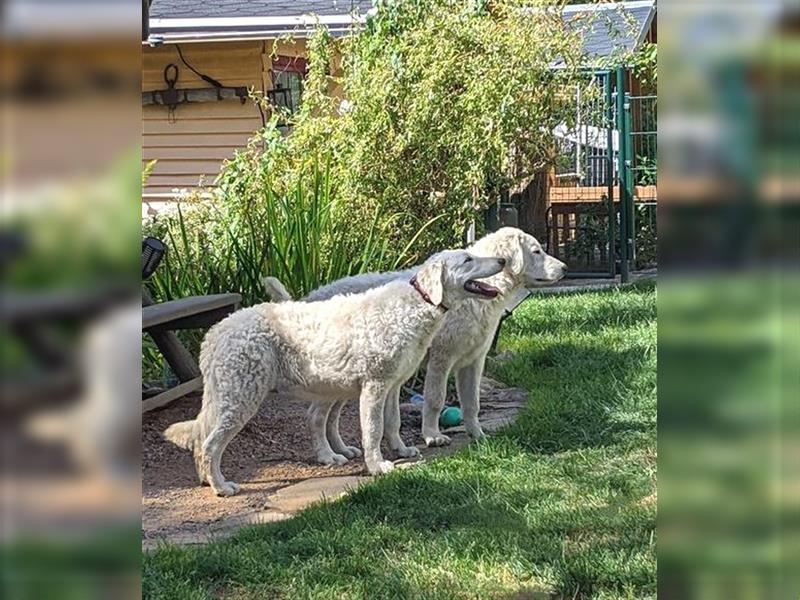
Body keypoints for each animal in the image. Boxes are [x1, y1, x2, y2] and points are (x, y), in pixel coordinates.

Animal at [165, 250, 504, 496]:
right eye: (468, 259)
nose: (501, 261)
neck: (417, 303)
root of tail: (216, 332)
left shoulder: (393, 385)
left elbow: (392, 422)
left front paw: (402, 450)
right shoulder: (375, 385)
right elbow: (373, 430)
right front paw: (377, 466)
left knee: (203, 439)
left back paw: (208, 480)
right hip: (241, 398)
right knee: (210, 444)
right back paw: (221, 486)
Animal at [266, 226, 564, 460]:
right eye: (537, 251)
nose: (564, 268)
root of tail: (304, 300)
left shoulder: (473, 361)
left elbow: (472, 402)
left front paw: (477, 434)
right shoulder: (442, 359)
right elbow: (435, 399)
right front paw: (432, 436)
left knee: (331, 417)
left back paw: (342, 449)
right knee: (317, 415)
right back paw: (329, 455)